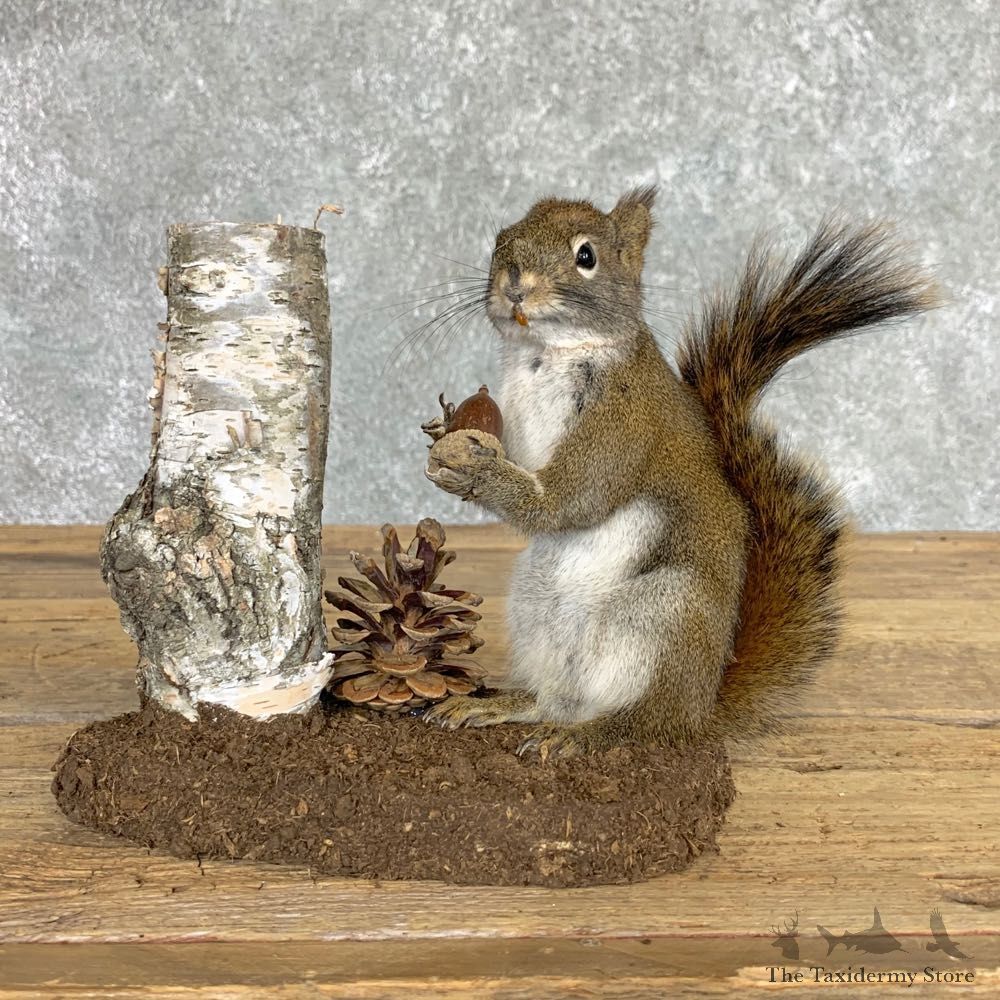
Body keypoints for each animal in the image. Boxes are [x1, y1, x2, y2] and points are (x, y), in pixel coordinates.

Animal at [421, 187, 938, 759]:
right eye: (501, 238)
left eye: (586, 256)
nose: (515, 285)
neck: (545, 355)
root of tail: (700, 711)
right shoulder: (518, 421)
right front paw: (442, 435)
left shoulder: (625, 421)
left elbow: (564, 500)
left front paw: (475, 467)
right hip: (538, 609)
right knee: (555, 701)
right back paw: (504, 706)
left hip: (662, 619)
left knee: (643, 724)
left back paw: (591, 734)